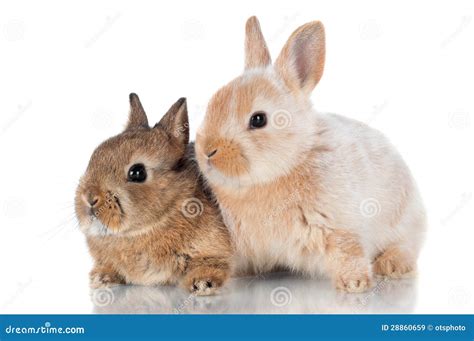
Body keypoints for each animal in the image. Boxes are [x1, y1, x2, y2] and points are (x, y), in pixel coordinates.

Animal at [74, 93, 235, 294]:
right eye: (95, 156)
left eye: (137, 173)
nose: (90, 198)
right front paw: (101, 278)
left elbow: (212, 264)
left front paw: (202, 283)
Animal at [194, 17, 428, 290]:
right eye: (212, 104)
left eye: (258, 119)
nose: (208, 151)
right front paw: (205, 280)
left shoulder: (338, 227)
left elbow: (348, 252)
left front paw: (355, 284)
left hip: (405, 221)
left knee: (406, 246)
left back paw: (392, 265)